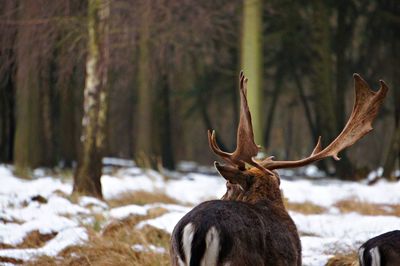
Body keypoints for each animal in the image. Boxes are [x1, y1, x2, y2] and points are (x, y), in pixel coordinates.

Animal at [170, 71, 388, 266]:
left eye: (227, 186)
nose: (223, 196)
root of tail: (198, 228)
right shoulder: (295, 260)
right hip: (241, 261)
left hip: (175, 258)